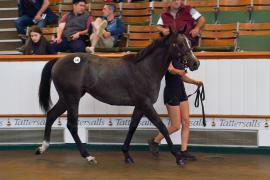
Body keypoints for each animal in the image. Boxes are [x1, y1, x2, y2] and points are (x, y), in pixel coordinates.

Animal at [35, 30, 199, 166]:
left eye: (190, 43)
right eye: (180, 44)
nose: (195, 63)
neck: (145, 69)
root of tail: (58, 60)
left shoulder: (140, 105)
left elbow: (132, 126)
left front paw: (126, 154)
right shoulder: (146, 104)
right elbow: (162, 127)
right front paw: (178, 157)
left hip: (65, 98)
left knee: (51, 115)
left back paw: (42, 148)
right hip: (72, 98)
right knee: (71, 125)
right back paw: (88, 156)